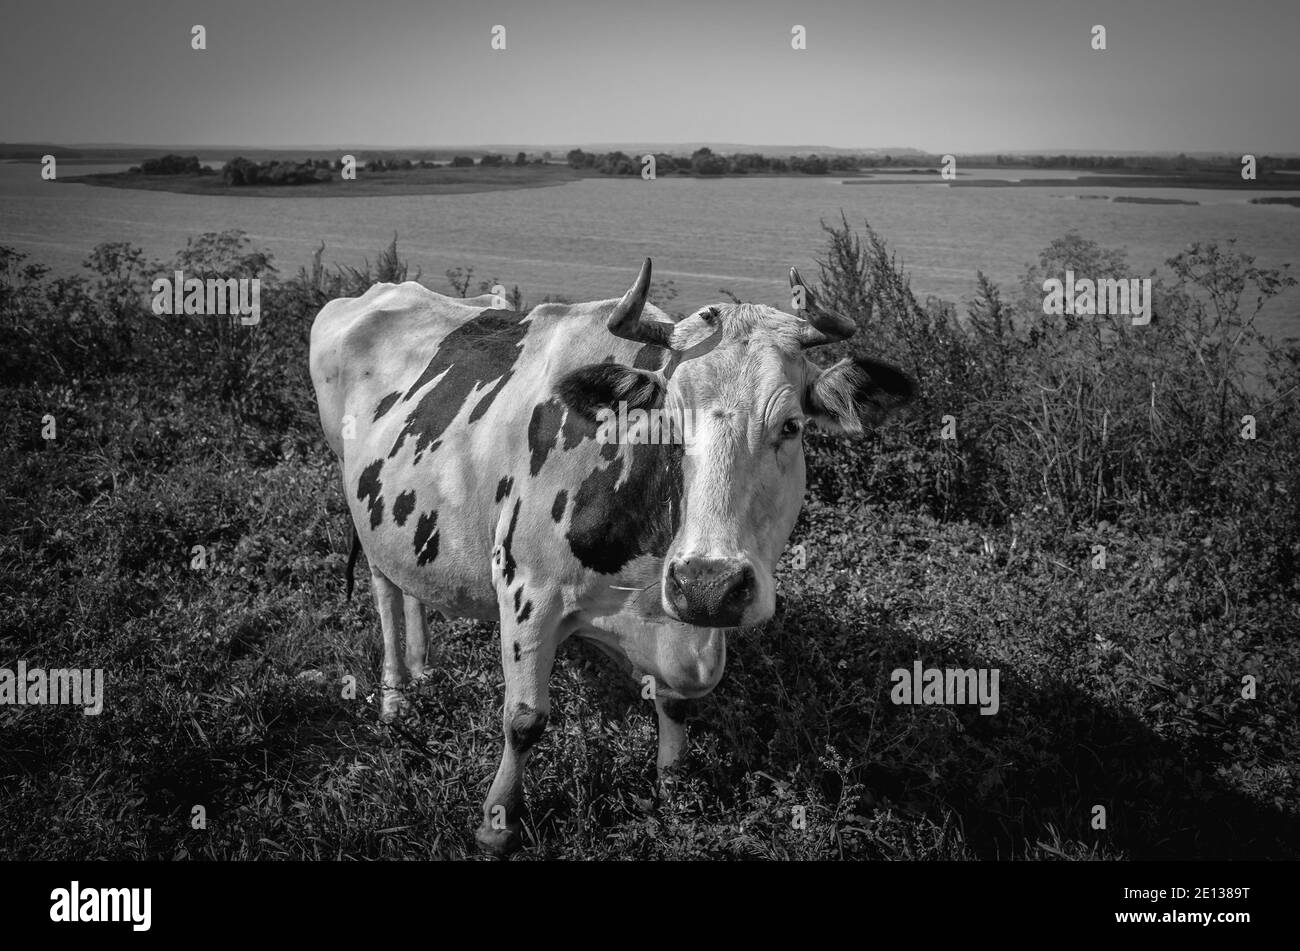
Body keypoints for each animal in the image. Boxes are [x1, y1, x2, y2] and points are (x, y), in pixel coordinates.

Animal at [306, 258, 915, 852]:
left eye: (791, 426)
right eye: (669, 424)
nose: (708, 584)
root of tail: (375, 292)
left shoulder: (680, 625)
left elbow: (676, 703)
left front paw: (673, 794)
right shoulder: (526, 589)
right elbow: (524, 719)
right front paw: (497, 823)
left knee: (410, 585)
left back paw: (422, 666)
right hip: (355, 496)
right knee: (384, 592)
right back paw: (395, 698)